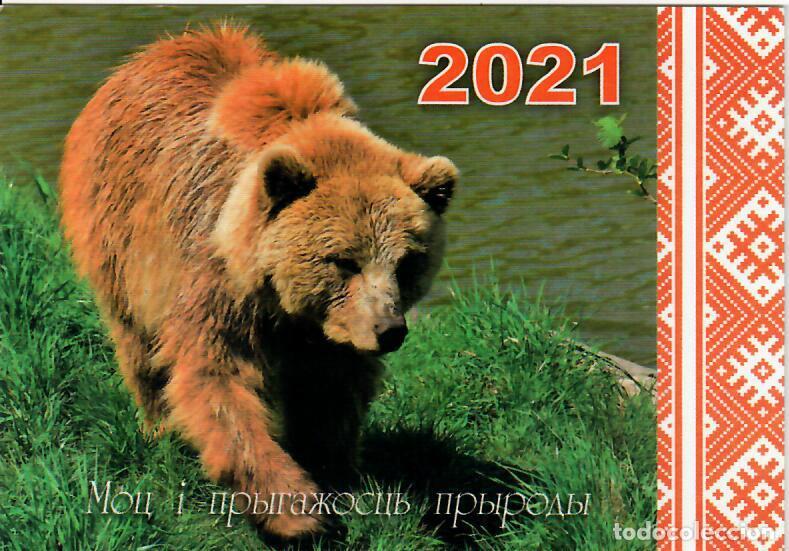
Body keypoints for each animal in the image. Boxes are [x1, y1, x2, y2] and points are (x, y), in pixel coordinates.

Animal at [59, 23, 457, 539]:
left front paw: (332, 471)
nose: (389, 330)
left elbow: (330, 393)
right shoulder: (215, 284)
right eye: (343, 260)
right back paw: (157, 426)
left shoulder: (332, 332)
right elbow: (218, 379)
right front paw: (295, 512)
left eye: (407, 261)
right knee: (138, 344)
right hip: (118, 232)